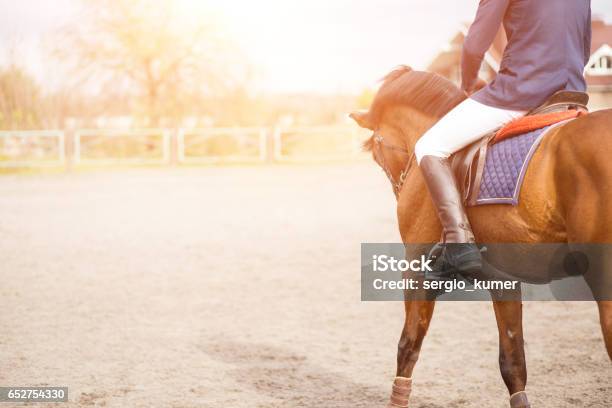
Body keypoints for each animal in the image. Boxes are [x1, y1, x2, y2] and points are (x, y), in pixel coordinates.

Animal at [352, 67, 612, 404]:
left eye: (377, 153)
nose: (400, 189)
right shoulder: (503, 279)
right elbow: (513, 363)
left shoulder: (416, 269)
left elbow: (408, 345)